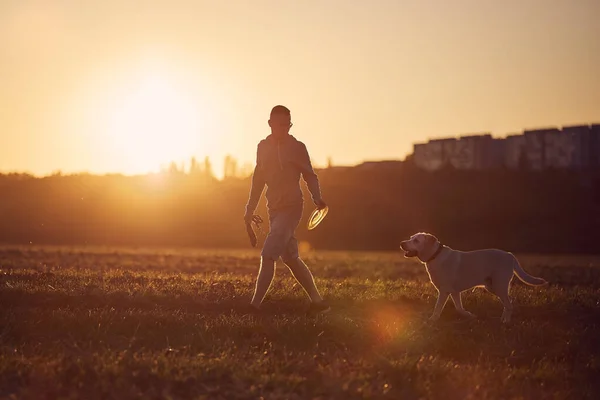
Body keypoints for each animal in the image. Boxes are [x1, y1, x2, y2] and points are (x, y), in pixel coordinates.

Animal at [398, 233, 548, 324]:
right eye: (411, 238)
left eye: (416, 240)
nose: (402, 243)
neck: (435, 255)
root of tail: (510, 255)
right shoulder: (454, 292)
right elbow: (459, 308)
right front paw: (469, 315)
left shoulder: (444, 291)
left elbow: (437, 307)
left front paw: (432, 320)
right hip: (492, 287)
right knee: (508, 303)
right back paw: (503, 319)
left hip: (499, 286)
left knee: (509, 304)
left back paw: (505, 322)